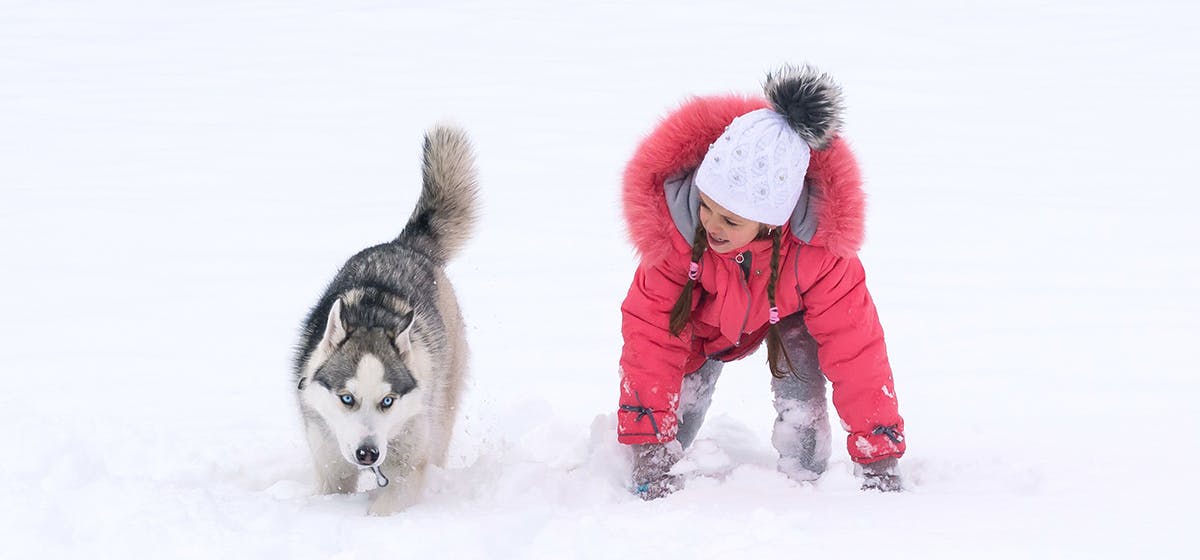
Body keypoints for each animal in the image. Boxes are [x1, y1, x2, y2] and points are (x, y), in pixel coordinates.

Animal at [291, 124, 477, 518]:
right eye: (346, 398)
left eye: (387, 402)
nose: (368, 453)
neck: (370, 315)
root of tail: (405, 245)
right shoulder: (329, 457)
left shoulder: (407, 459)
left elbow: (391, 501)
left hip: (441, 406)